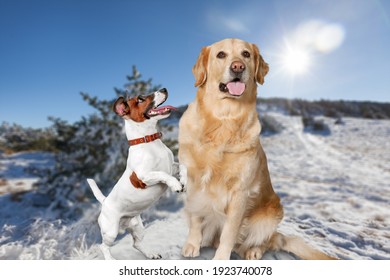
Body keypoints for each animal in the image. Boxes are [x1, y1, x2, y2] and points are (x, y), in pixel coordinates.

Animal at [87, 88, 185, 260]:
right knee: (103, 246)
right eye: (140, 99)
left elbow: (181, 167)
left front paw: (184, 178)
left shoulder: (172, 166)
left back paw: (151, 254)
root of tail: (104, 202)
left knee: (136, 244)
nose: (164, 89)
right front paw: (175, 185)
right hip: (110, 232)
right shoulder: (144, 177)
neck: (149, 141)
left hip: (138, 227)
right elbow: (162, 174)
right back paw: (110, 259)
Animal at [178, 38, 334, 260]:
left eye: (246, 54)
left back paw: (254, 250)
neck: (223, 121)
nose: (238, 67)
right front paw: (192, 245)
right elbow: (195, 217)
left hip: (272, 213)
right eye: (221, 55)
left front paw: (220, 258)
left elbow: (229, 232)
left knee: (267, 241)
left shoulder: (240, 192)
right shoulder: (193, 182)